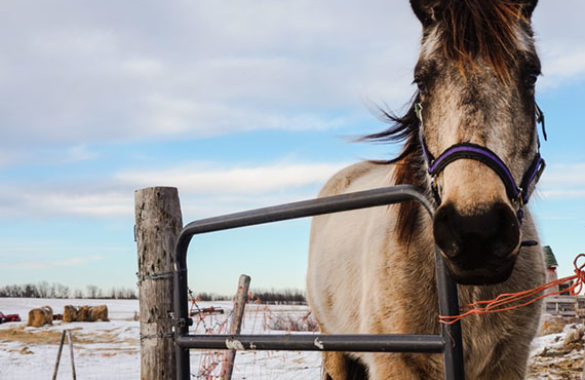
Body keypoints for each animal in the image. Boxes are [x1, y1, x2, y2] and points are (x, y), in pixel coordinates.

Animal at [306, 1, 548, 378]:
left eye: (531, 75)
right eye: (421, 79)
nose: (476, 231)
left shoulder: (510, 359)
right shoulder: (394, 363)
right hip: (335, 348)